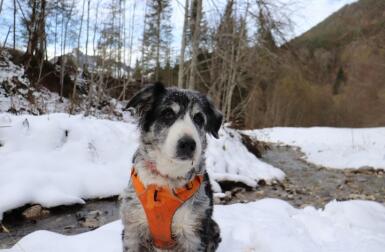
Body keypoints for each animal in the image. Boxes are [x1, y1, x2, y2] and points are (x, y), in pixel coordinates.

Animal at [120, 81, 222, 251]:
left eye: (199, 118)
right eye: (168, 113)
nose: (188, 144)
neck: (167, 179)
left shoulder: (193, 233)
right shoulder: (132, 229)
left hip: (213, 227)